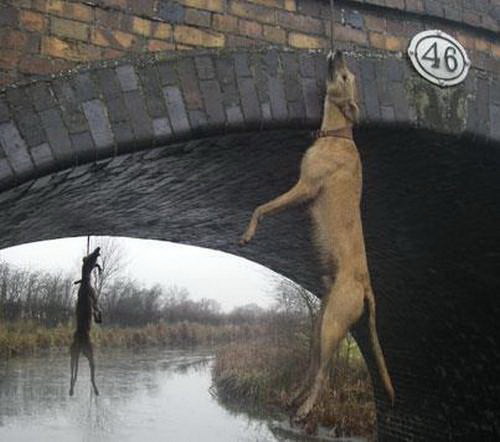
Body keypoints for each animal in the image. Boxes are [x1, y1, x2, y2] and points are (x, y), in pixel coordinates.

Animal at [240, 50, 394, 422]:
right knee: (311, 368)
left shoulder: (305, 187)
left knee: (323, 372)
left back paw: (304, 409)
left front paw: (248, 234)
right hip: (320, 326)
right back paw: (293, 398)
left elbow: (261, 208)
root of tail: (365, 285)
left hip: (332, 324)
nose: (338, 52)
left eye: (345, 77)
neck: (339, 135)